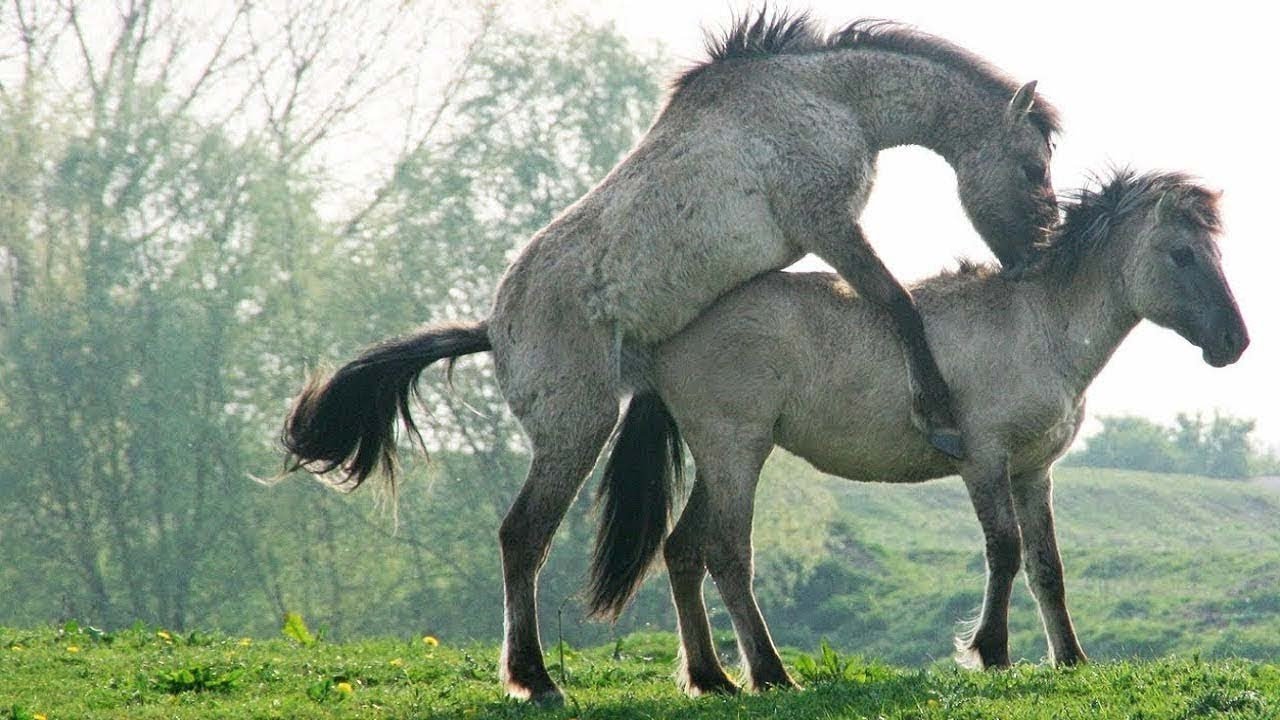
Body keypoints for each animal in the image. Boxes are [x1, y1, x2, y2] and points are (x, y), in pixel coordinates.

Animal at [281, 10, 1060, 703]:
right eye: (1032, 167)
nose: (1036, 258)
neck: (826, 96)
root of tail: (493, 328)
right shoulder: (828, 224)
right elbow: (897, 303)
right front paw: (938, 413)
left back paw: (701, 676)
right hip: (577, 429)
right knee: (521, 537)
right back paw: (536, 680)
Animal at [590, 168, 1248, 694]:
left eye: (1216, 251)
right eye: (1182, 254)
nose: (1234, 341)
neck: (1037, 325)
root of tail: (668, 332)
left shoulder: (1034, 472)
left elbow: (1047, 567)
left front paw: (1070, 659)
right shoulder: (985, 462)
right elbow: (1004, 551)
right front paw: (991, 652)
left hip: (720, 457)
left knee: (682, 551)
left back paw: (711, 678)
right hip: (736, 452)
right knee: (727, 555)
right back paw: (771, 675)